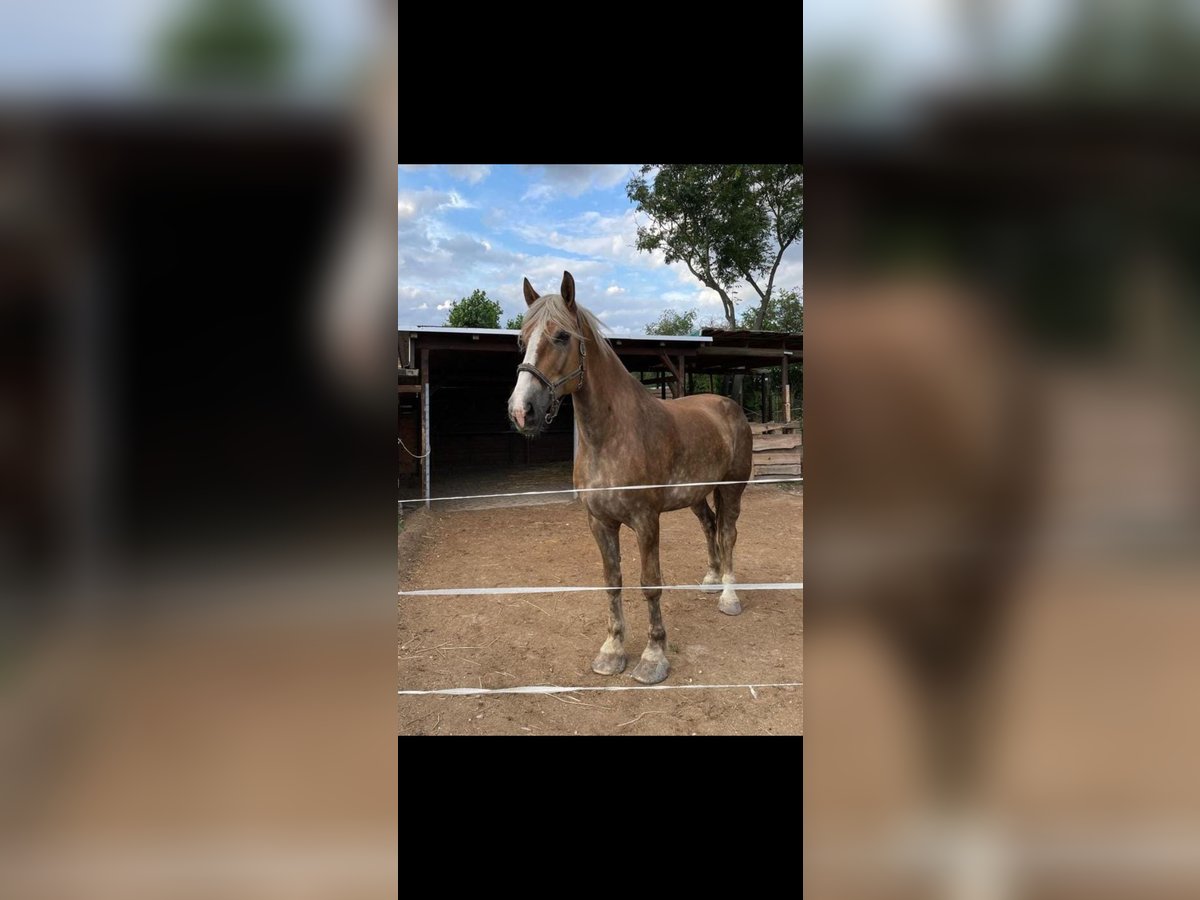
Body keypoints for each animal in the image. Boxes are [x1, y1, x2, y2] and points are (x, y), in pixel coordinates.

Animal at [504, 271, 748, 686]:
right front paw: (612, 650)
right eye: (522, 340)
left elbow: (650, 584)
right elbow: (612, 581)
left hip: (731, 490)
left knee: (728, 533)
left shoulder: (646, 521)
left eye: (562, 336)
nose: (522, 412)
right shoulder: (600, 522)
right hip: (698, 495)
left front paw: (653, 657)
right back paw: (711, 579)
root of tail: (730, 406)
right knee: (710, 526)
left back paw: (728, 597)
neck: (612, 434)